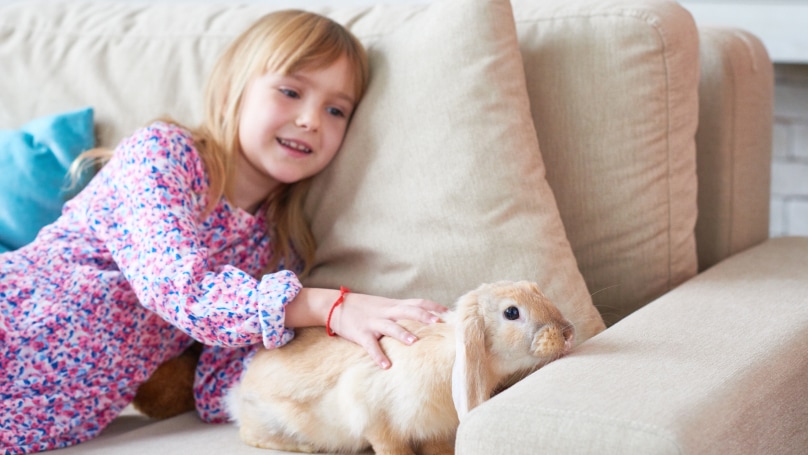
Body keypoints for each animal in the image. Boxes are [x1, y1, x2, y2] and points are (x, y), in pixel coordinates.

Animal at [224, 282, 572, 455]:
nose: (568, 332)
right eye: (511, 312)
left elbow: (435, 448)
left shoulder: (432, 429)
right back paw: (303, 446)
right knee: (249, 436)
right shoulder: (374, 418)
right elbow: (391, 448)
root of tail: (239, 393)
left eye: (538, 290)